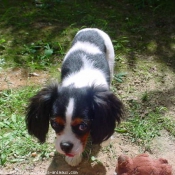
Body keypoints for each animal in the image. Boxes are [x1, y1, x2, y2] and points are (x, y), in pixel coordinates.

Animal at [26, 28, 124, 166]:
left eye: (82, 126)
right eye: (54, 123)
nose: (65, 146)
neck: (79, 83)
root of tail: (91, 29)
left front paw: (105, 139)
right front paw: (74, 158)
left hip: (111, 56)